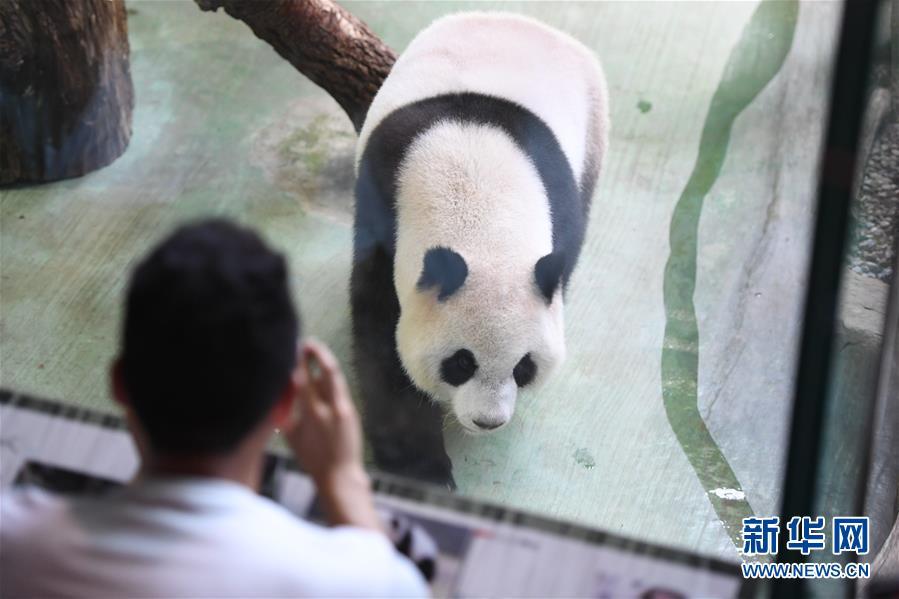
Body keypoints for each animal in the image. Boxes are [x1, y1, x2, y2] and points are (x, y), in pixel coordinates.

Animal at [352, 11, 612, 488]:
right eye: (460, 363)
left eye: (524, 367)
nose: (488, 422)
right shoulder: (382, 203)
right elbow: (381, 339)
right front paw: (422, 468)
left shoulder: (558, 195)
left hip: (592, 134)